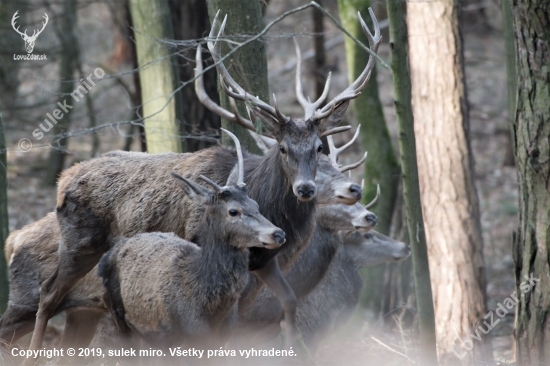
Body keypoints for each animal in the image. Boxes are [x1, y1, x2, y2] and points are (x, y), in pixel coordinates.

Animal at [28, 9, 382, 352]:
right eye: (282, 148)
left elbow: (286, 304)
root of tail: (62, 180)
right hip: (78, 244)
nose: (305, 188)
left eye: (319, 147)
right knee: (48, 294)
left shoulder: (265, 263)